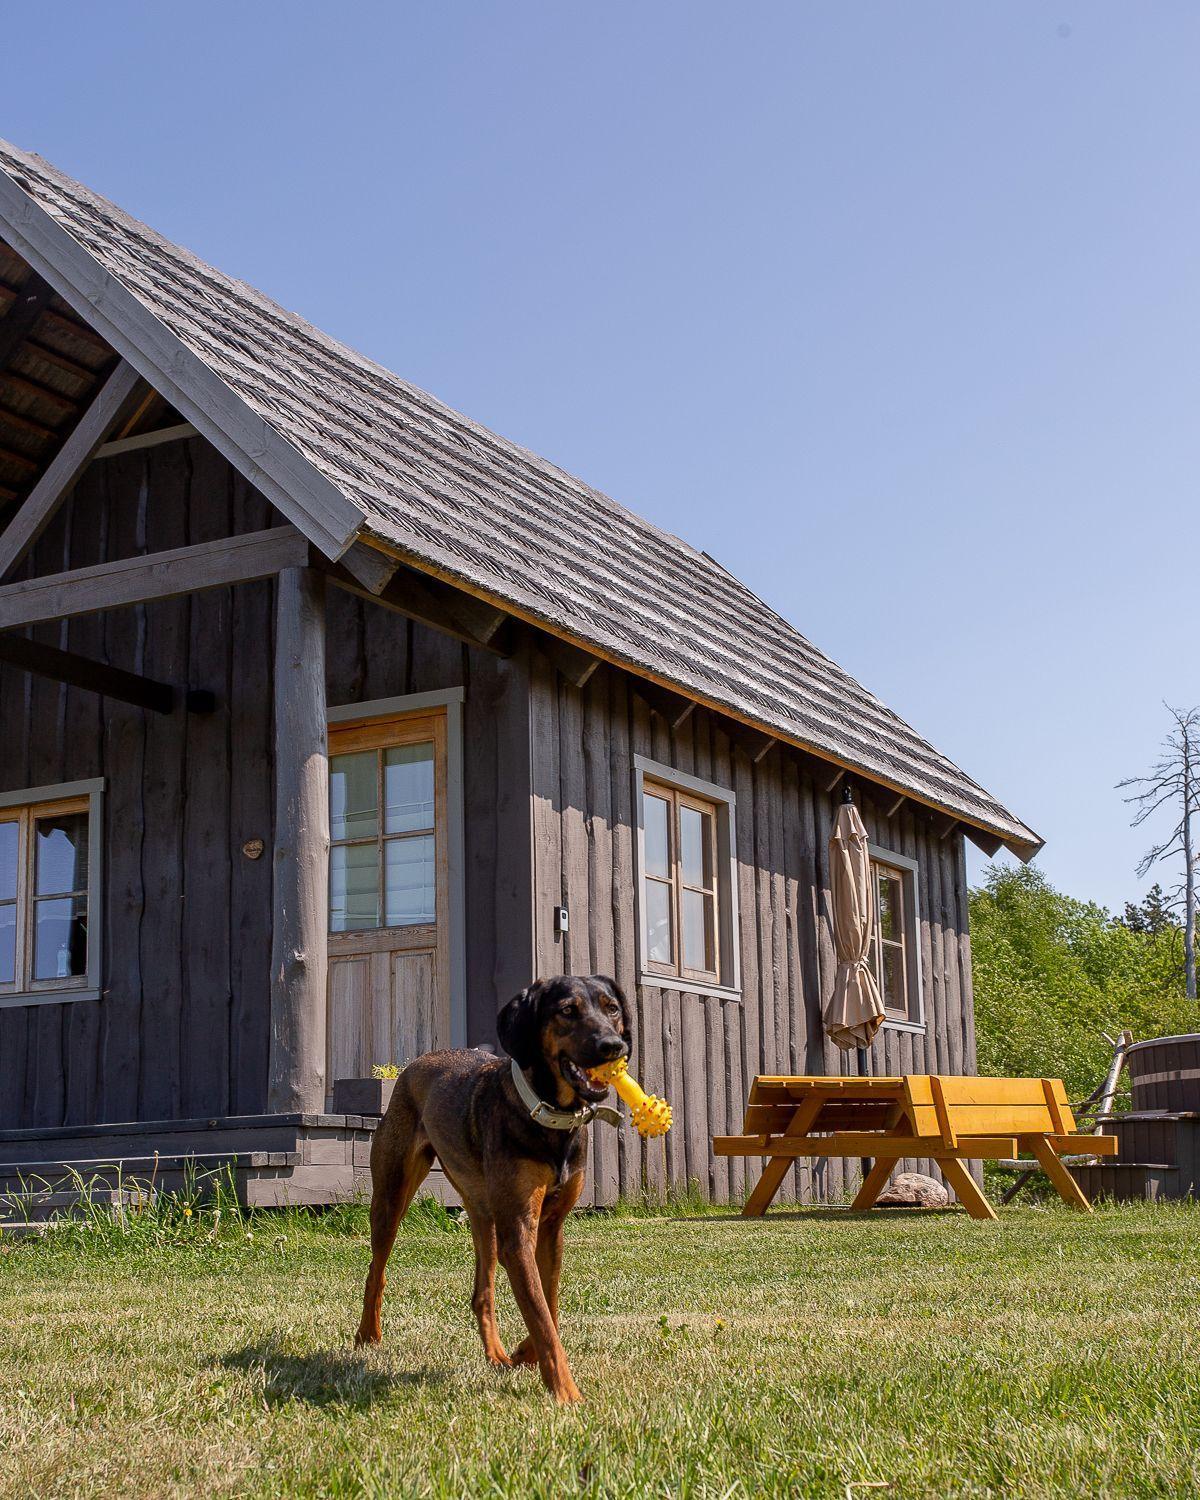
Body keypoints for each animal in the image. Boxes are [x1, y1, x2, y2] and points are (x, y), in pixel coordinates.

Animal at [354, 972, 627, 1404]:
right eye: (567, 1010)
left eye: (612, 1008)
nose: (612, 1046)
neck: (550, 1116)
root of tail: (419, 1062)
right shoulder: (519, 1229)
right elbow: (541, 1316)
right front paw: (566, 1393)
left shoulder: (551, 1227)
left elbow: (547, 1304)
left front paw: (525, 1353)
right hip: (391, 1196)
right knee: (375, 1269)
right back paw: (368, 1335)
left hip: (484, 1214)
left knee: (482, 1291)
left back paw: (496, 1354)